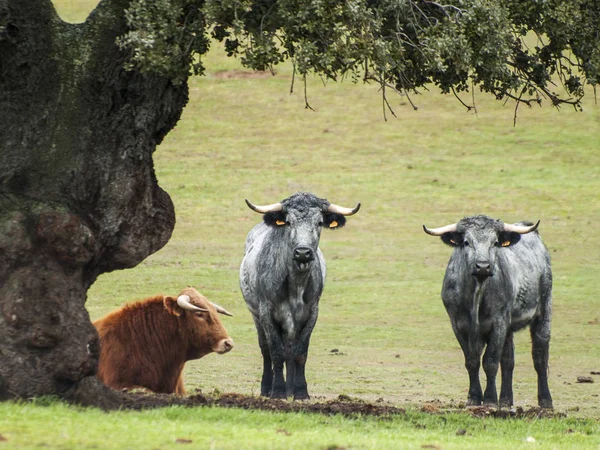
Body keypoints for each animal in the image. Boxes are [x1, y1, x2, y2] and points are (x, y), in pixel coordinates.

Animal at [240, 192, 360, 400]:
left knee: (290, 349)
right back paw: (267, 388)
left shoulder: (311, 313)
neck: (295, 284)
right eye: (288, 221)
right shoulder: (266, 312)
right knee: (266, 350)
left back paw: (290, 389)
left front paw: (300, 391)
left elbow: (300, 352)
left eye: (319, 222)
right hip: (256, 315)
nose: (303, 253)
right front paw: (278, 391)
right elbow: (275, 352)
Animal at [424, 214, 552, 408]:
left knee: (539, 356)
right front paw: (474, 398)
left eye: (495, 242)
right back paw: (505, 401)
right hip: (509, 329)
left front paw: (490, 400)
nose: (483, 266)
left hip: (543, 312)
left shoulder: (498, 323)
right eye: (466, 242)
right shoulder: (459, 325)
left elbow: (490, 361)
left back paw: (546, 401)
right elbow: (472, 361)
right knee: (508, 361)